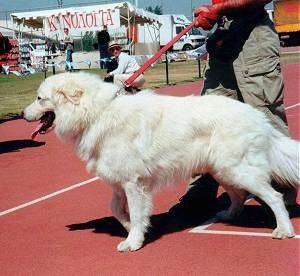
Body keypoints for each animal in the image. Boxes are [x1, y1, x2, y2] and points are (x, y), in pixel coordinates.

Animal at [24, 71, 300, 252]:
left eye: (39, 98)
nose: (22, 114)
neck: (96, 113)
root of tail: (258, 117)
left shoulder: (133, 183)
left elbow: (135, 213)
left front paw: (133, 241)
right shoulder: (120, 182)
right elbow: (117, 210)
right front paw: (132, 229)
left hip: (238, 170)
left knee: (274, 197)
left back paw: (284, 230)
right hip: (223, 170)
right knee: (239, 196)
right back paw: (229, 215)